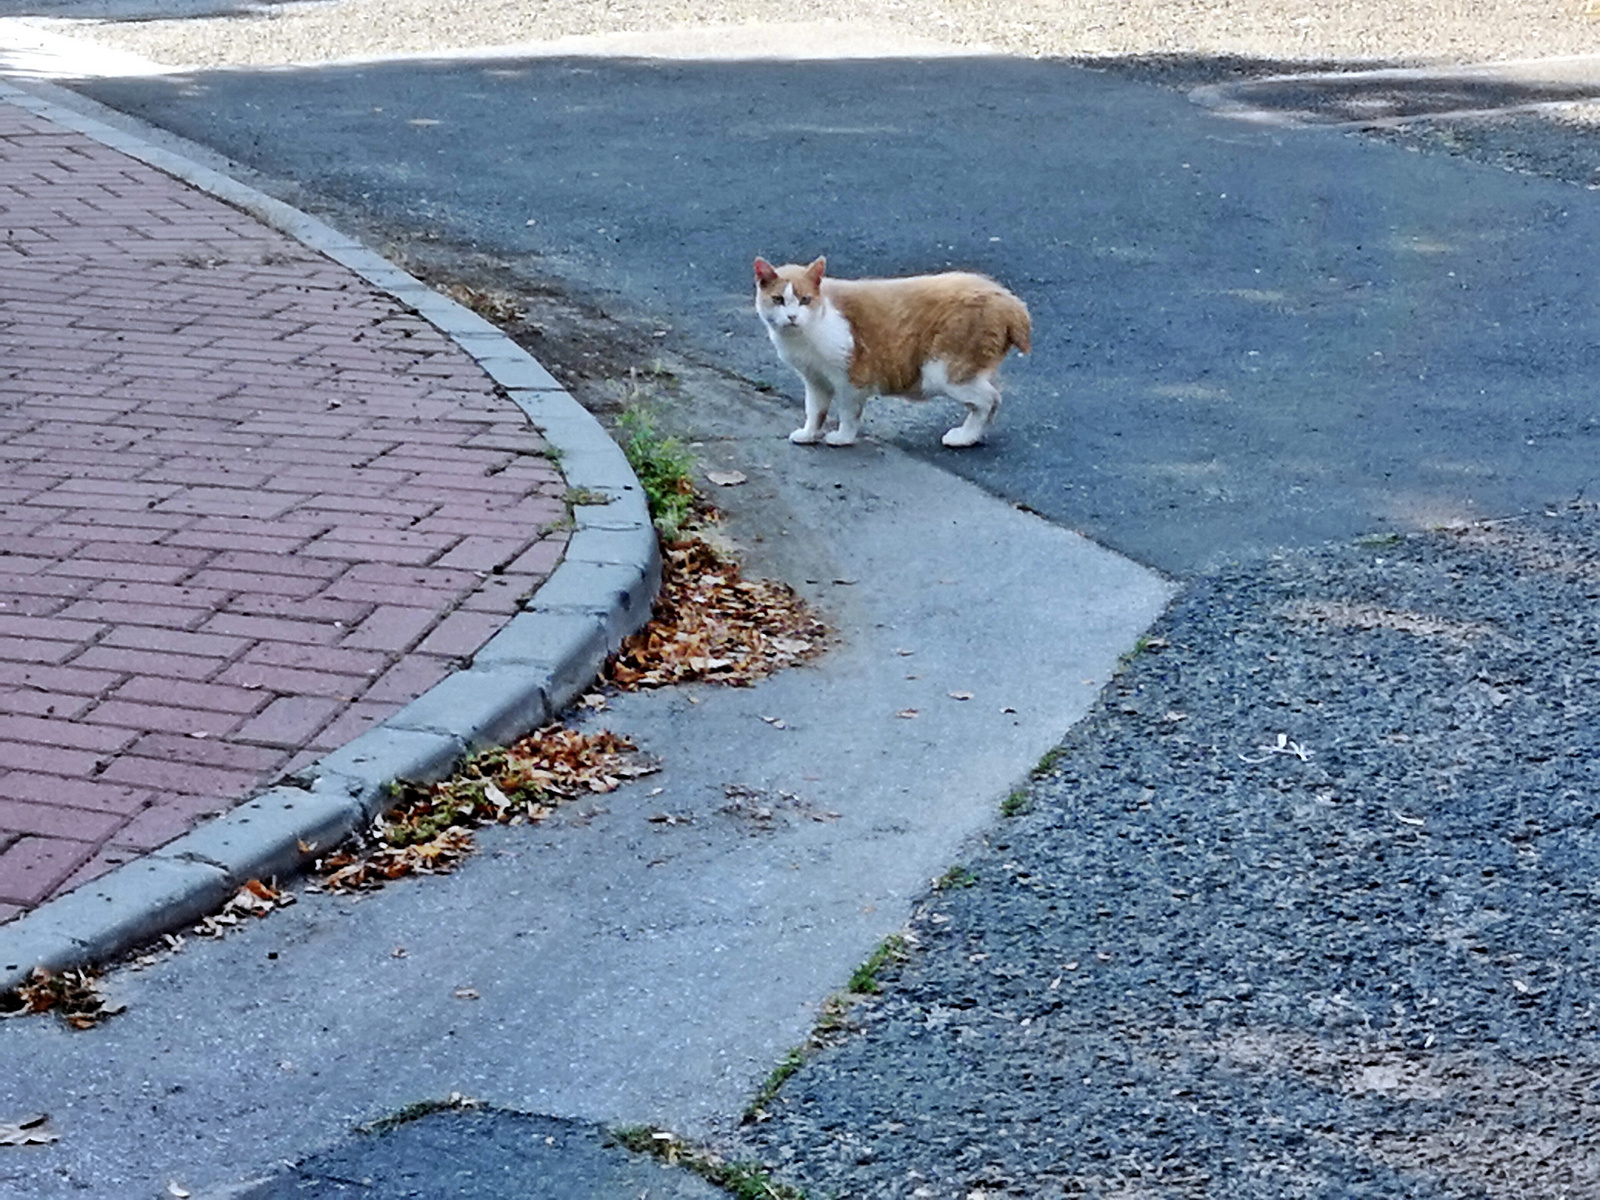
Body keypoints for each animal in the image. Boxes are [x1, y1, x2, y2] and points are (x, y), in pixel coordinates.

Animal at [752, 259, 1030, 451]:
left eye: (805, 300)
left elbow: (848, 413)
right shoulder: (815, 380)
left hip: (944, 372)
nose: (792, 317)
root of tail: (1010, 300)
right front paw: (809, 434)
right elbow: (815, 411)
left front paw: (843, 437)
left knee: (990, 400)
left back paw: (964, 437)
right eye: (778, 300)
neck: (803, 337)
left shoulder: (851, 379)